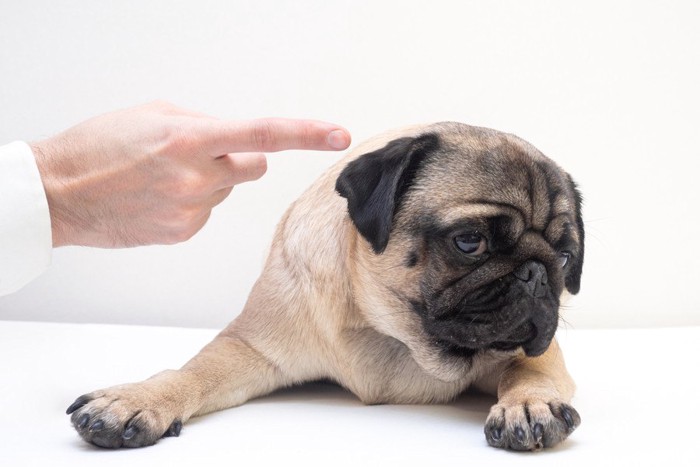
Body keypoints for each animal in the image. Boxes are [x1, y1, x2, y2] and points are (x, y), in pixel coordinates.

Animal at [68, 122, 584, 452]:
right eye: (470, 241)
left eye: (564, 259)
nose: (537, 274)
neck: (395, 337)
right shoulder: (251, 347)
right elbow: (193, 372)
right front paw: (139, 399)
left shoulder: (536, 350)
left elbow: (528, 368)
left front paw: (529, 405)